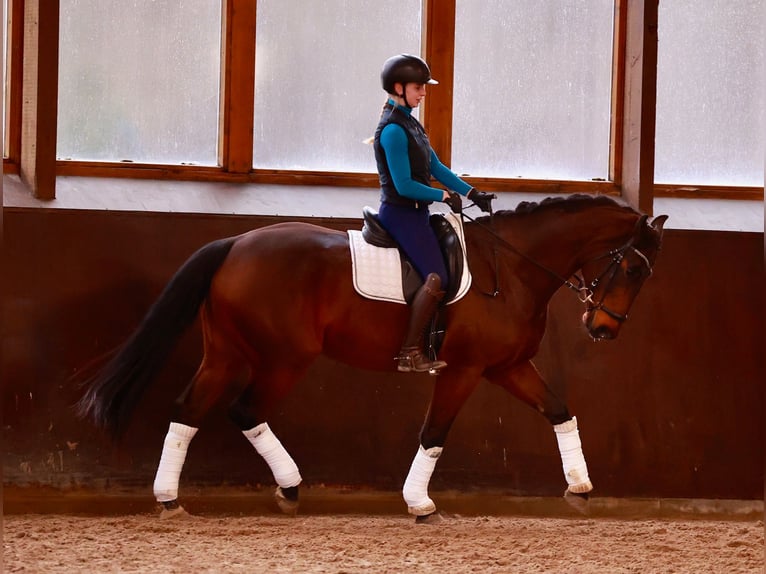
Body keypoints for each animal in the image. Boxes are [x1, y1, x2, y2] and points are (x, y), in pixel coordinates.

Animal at [75, 194, 668, 520]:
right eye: (632, 269)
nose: (602, 329)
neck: (514, 268)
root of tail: (236, 244)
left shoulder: (507, 366)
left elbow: (560, 410)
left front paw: (580, 488)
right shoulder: (467, 369)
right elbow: (434, 432)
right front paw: (419, 504)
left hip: (226, 353)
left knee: (188, 410)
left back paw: (172, 498)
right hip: (285, 357)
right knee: (242, 410)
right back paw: (287, 486)